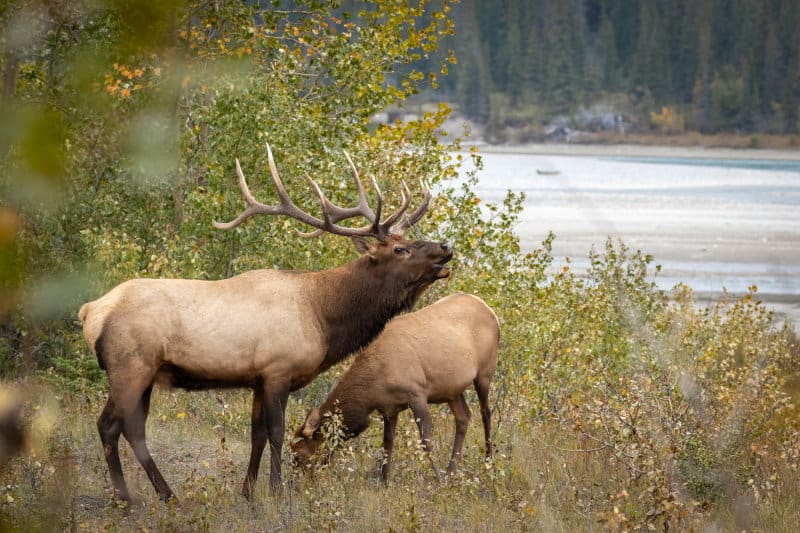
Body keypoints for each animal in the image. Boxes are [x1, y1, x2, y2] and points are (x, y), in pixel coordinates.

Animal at [78, 142, 454, 502]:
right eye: (400, 250)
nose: (445, 247)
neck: (322, 317)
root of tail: (91, 311)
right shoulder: (278, 370)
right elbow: (276, 432)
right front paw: (276, 490)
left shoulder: (257, 378)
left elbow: (256, 434)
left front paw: (248, 492)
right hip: (130, 366)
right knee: (110, 425)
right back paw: (132, 499)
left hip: (146, 372)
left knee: (130, 428)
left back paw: (159, 495)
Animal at [290, 294, 496, 480]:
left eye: (298, 456)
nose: (296, 485)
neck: (370, 390)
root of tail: (489, 309)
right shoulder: (389, 409)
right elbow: (388, 443)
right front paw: (384, 481)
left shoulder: (417, 394)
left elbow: (426, 442)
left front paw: (438, 479)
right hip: (452, 390)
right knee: (463, 416)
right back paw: (452, 470)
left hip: (484, 373)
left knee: (486, 412)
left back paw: (488, 462)